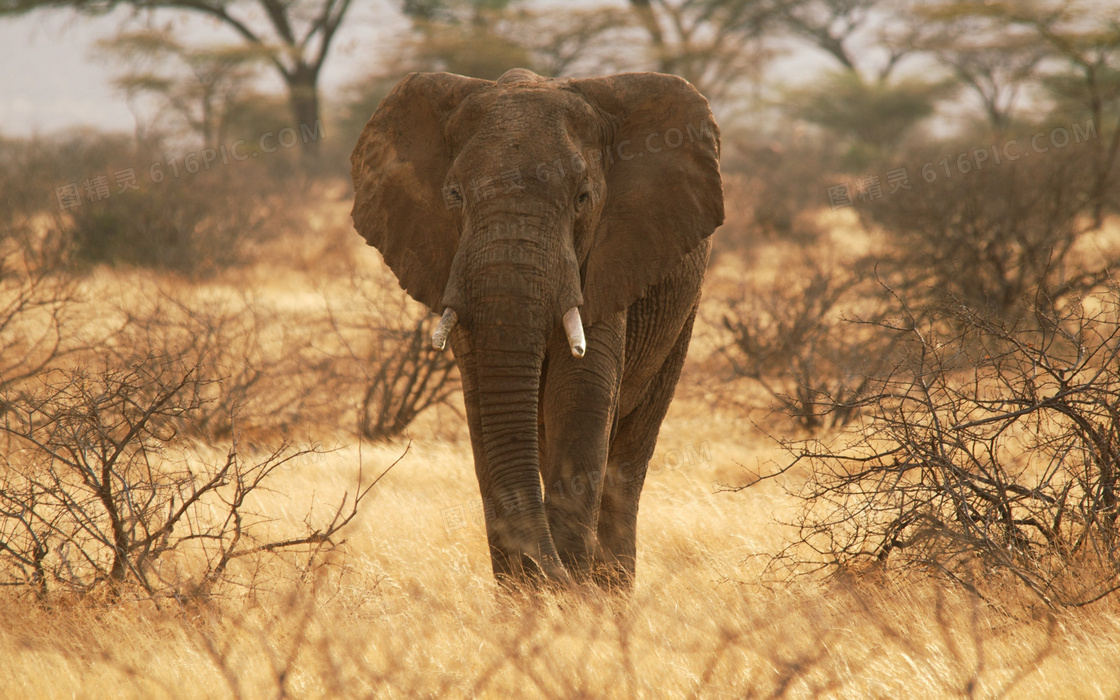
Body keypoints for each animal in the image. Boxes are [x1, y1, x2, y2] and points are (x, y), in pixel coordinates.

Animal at [353, 66, 730, 591]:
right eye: (454, 195)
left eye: (583, 198)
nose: (561, 579)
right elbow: (484, 408)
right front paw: (527, 600)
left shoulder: (608, 262)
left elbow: (582, 394)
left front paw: (571, 598)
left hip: (683, 313)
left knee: (629, 458)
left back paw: (612, 591)